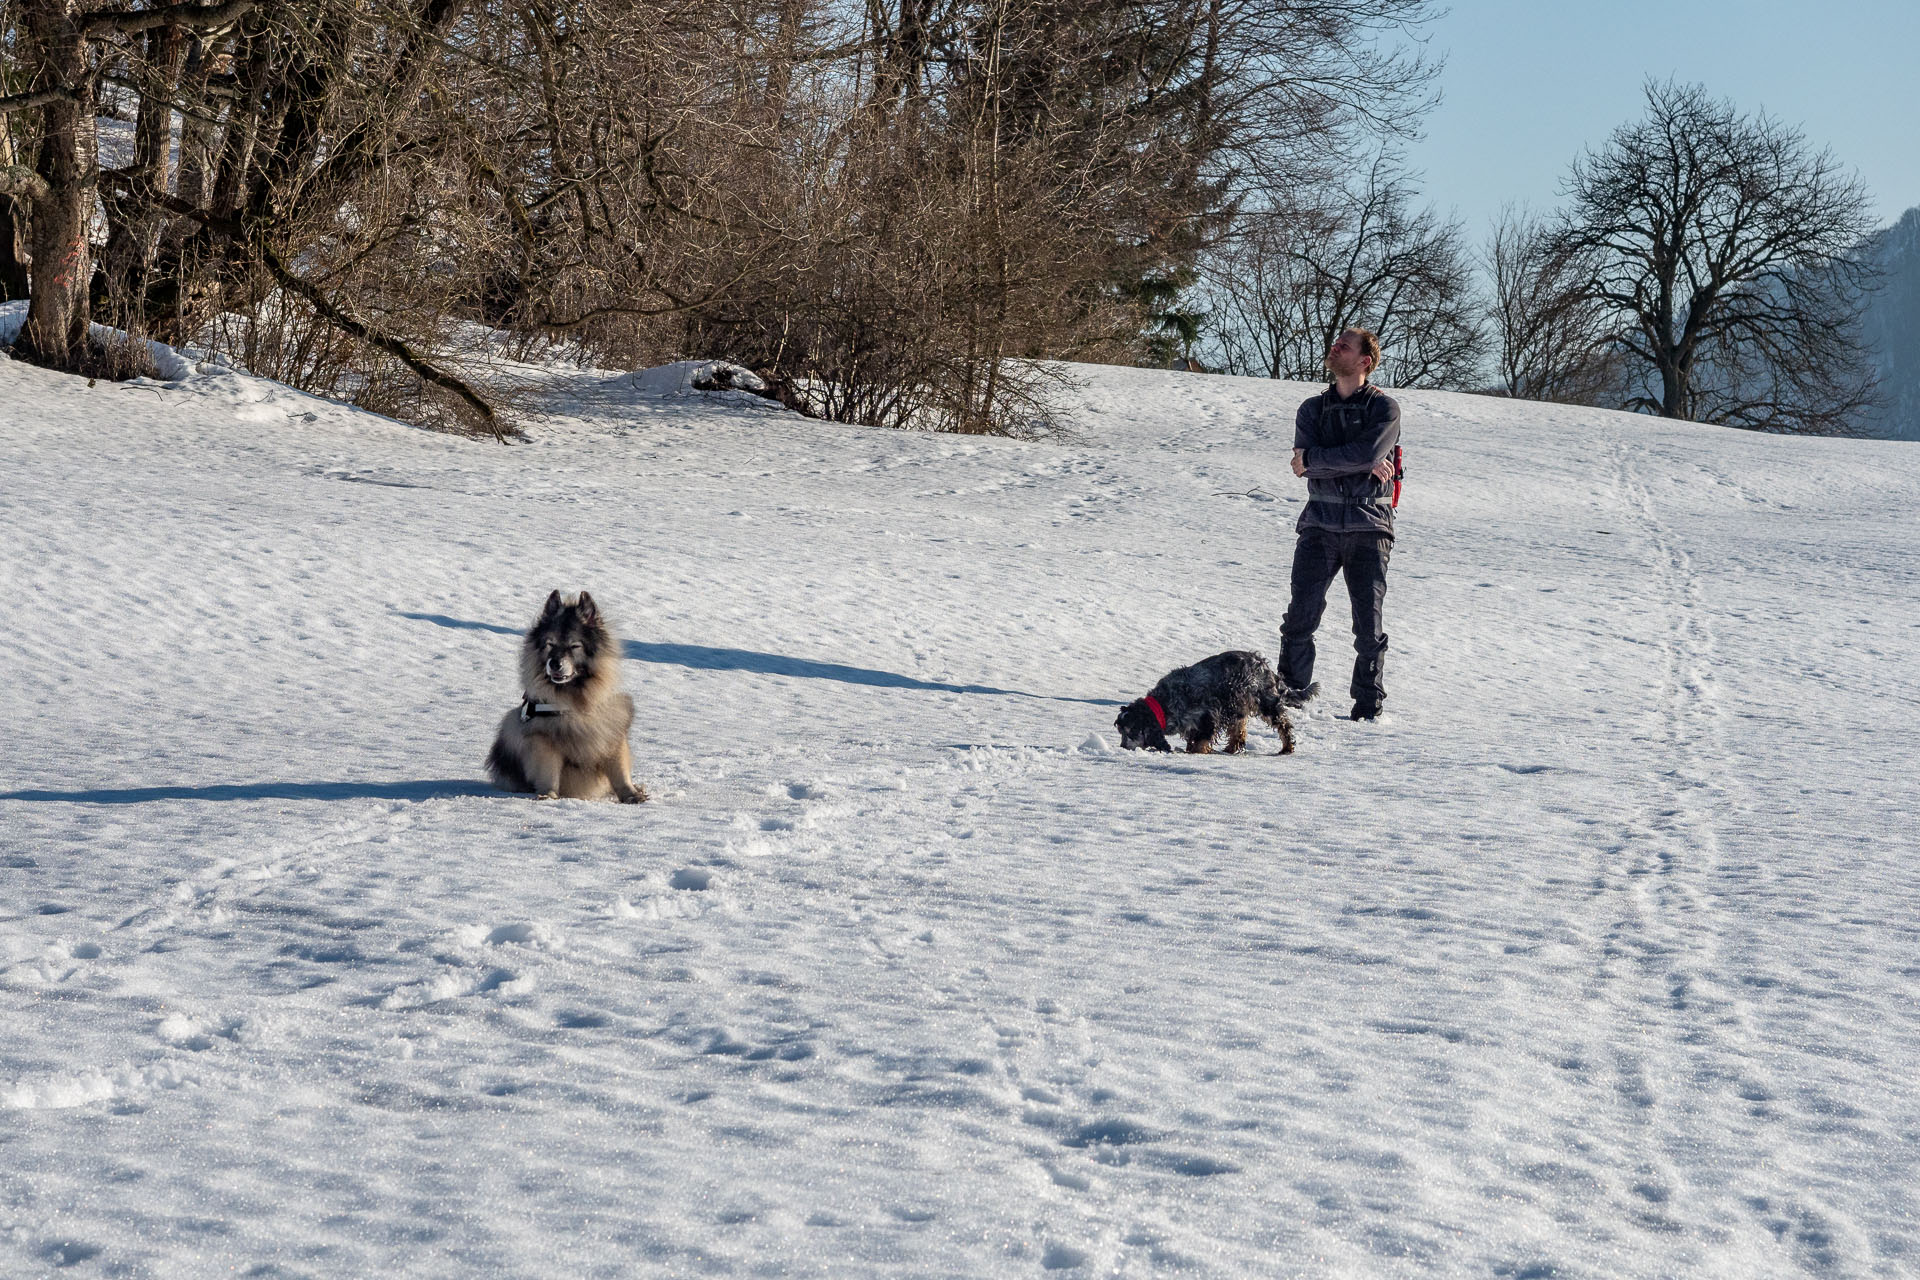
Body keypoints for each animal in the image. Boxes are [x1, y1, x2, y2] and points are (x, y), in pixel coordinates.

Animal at [483, 591, 648, 802]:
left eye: (574, 646)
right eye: (550, 644)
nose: (554, 663)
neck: (574, 700)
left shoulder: (612, 732)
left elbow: (619, 771)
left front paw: (631, 794)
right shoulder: (543, 738)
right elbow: (549, 771)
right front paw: (548, 795)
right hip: (511, 722)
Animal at [1121, 656, 1297, 756]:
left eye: (1130, 731)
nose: (1122, 747)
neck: (1164, 703)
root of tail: (1264, 665)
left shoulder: (1209, 716)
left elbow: (1201, 742)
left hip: (1266, 703)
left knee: (1284, 725)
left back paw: (1287, 747)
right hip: (1238, 708)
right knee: (1238, 731)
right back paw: (1230, 749)